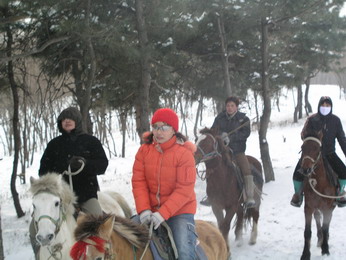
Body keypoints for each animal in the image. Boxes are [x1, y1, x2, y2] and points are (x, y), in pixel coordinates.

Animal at [298, 132, 336, 260]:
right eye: (302, 147)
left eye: (318, 148)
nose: (306, 169)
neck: (318, 183)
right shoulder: (308, 208)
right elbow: (307, 232)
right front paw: (305, 254)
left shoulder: (327, 208)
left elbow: (325, 227)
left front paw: (325, 249)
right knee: (318, 218)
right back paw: (320, 239)